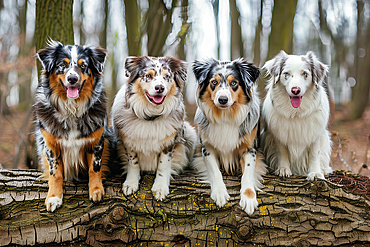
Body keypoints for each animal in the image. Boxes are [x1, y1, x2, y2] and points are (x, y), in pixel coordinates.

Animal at [34, 40, 110, 212]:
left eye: (83, 66)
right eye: (62, 64)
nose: (73, 79)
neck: (71, 108)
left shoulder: (97, 141)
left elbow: (94, 168)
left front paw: (96, 190)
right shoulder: (50, 144)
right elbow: (55, 173)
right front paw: (54, 197)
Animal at [260, 51, 332, 180]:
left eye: (305, 74)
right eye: (286, 73)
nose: (295, 90)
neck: (296, 112)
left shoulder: (315, 134)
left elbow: (314, 154)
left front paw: (315, 173)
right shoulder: (279, 135)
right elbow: (282, 152)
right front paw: (283, 169)